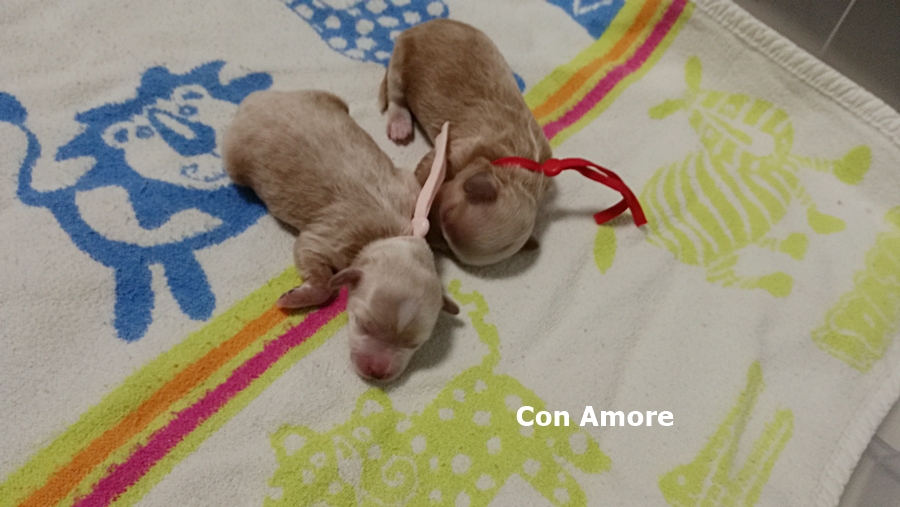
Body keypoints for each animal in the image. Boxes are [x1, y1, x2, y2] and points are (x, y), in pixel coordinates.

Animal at [224, 90, 458, 382]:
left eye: (414, 343)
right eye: (361, 324)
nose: (376, 373)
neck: (393, 235)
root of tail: (256, 99)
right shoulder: (326, 240)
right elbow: (322, 280)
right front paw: (294, 296)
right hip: (234, 157)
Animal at [380, 18, 552, 266]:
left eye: (450, 250)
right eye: (445, 214)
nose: (426, 235)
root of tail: (424, 24)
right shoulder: (461, 146)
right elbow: (427, 168)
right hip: (400, 61)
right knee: (396, 96)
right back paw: (399, 125)